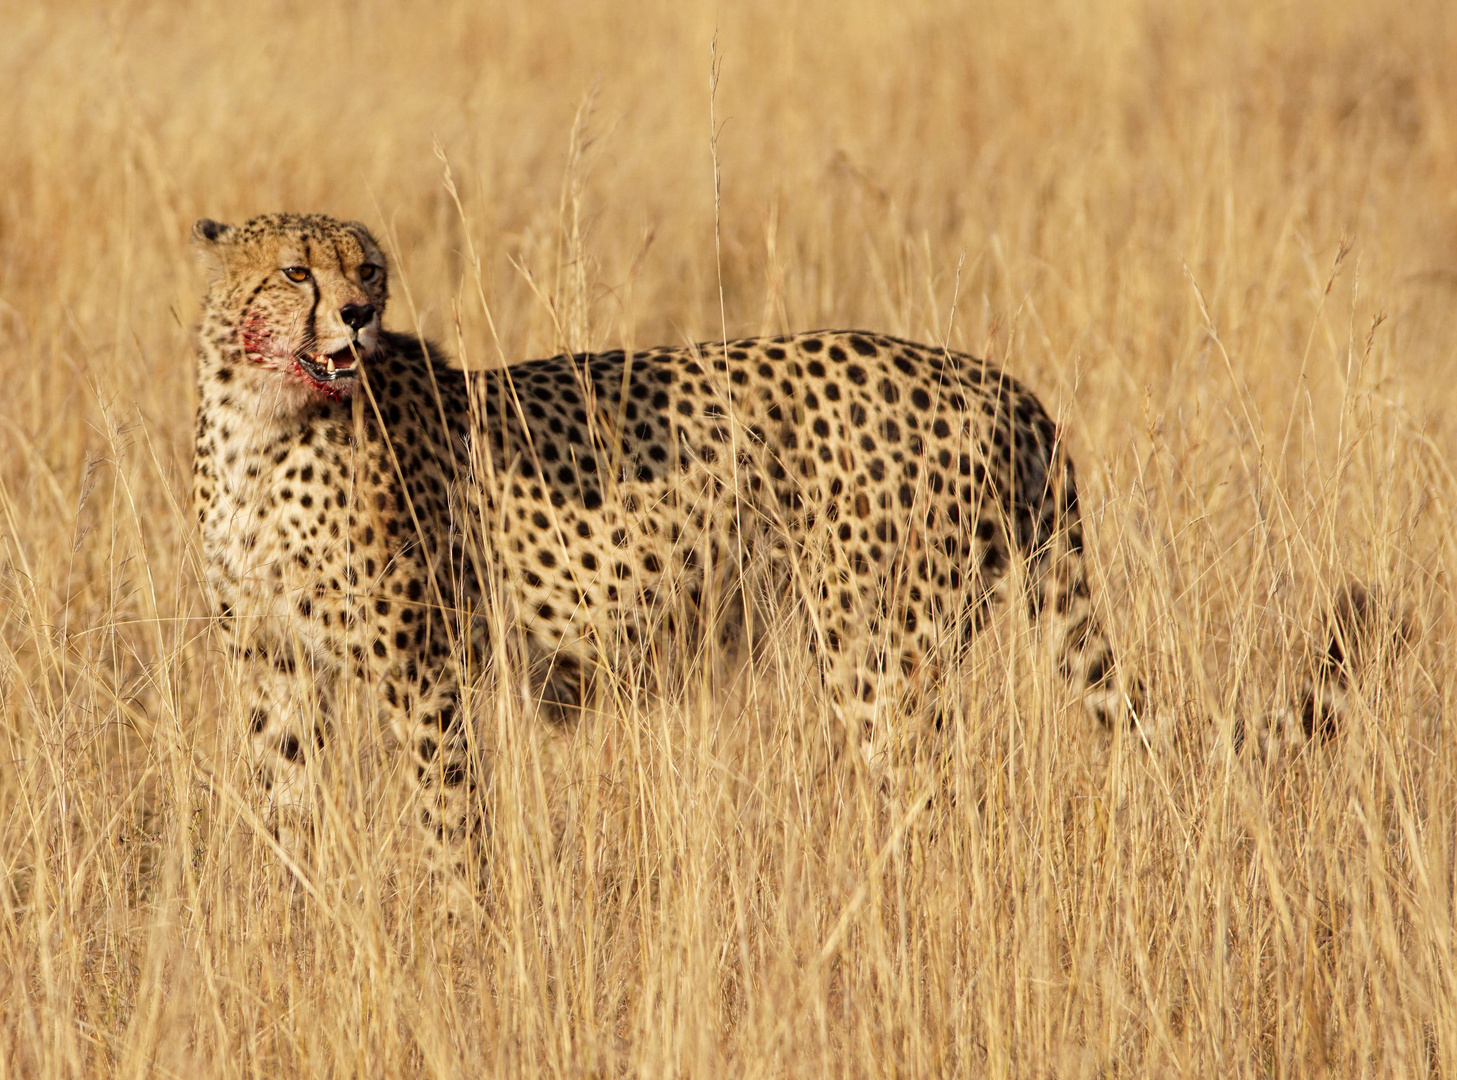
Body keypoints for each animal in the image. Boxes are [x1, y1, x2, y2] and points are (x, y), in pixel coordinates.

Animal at [185, 211, 1136, 857]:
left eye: (369, 270)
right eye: (295, 272)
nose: (356, 314)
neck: (264, 424)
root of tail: (989, 378)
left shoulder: (419, 667)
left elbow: (448, 817)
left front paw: (457, 941)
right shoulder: (273, 662)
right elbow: (285, 805)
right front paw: (296, 924)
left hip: (881, 646)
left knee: (930, 800)